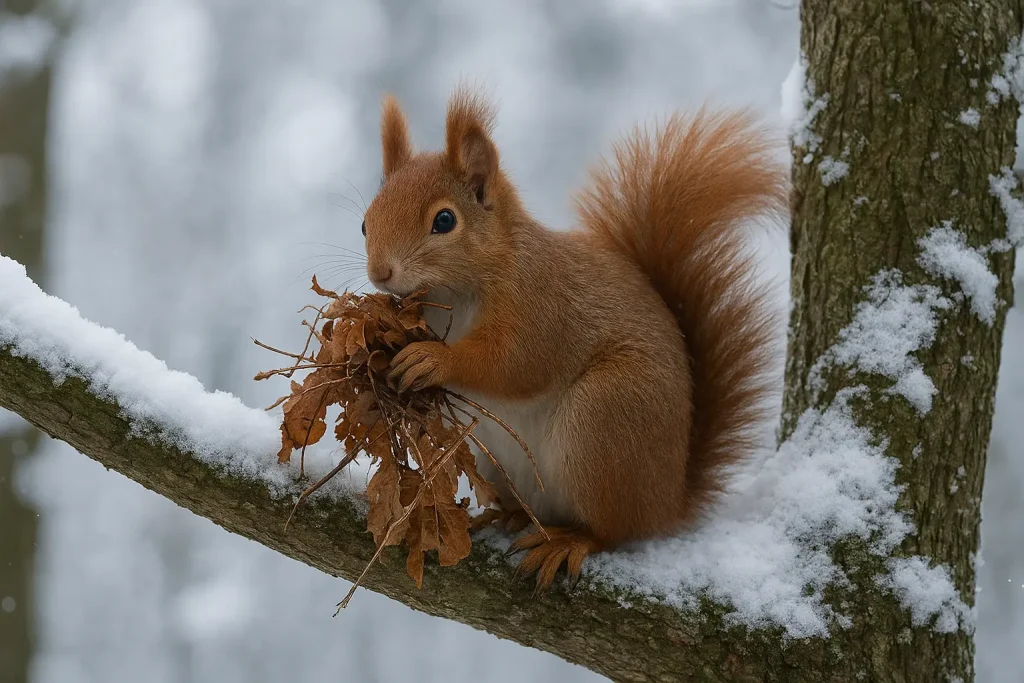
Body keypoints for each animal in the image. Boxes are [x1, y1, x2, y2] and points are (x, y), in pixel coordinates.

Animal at [361, 87, 786, 589]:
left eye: (444, 221)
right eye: (365, 222)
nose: (380, 273)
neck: (456, 293)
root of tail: (667, 502)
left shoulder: (541, 306)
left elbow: (515, 363)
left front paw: (434, 360)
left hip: (604, 417)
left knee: (612, 530)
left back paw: (570, 541)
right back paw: (507, 516)